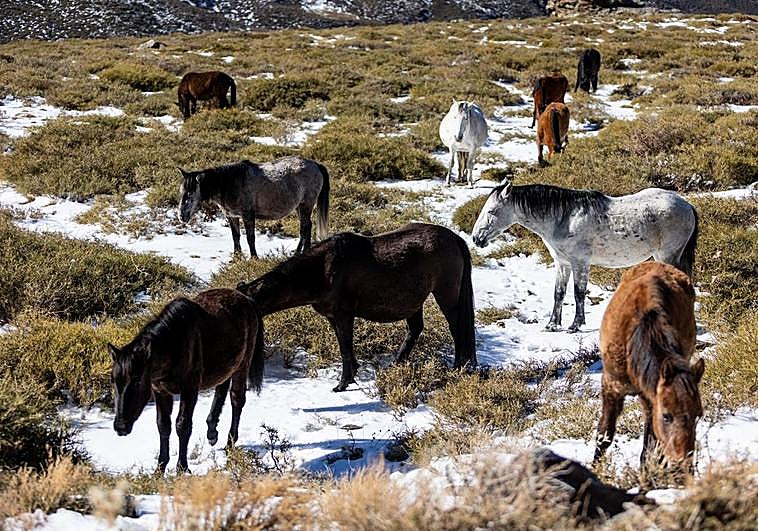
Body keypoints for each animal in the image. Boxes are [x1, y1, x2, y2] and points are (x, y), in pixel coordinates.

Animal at [107, 288, 265, 473]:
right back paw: (212, 432)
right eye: (113, 381)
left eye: (137, 381)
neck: (174, 344)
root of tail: (247, 299)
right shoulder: (160, 391)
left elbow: (182, 425)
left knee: (237, 400)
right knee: (221, 389)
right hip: (226, 365)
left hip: (242, 365)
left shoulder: (189, 389)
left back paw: (229, 445)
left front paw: (182, 468)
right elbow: (163, 425)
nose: (121, 427)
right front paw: (160, 468)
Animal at [179, 156, 330, 258]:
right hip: (300, 207)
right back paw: (306, 251)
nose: (181, 216)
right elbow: (236, 237)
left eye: (191, 193)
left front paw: (254, 258)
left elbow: (250, 238)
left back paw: (297, 253)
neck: (229, 183)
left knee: (304, 228)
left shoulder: (247, 215)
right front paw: (237, 258)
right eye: (181, 191)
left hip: (305, 205)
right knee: (308, 226)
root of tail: (315, 164)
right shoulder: (232, 216)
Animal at [237, 223, 476, 392]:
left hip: (446, 294)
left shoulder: (344, 315)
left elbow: (344, 347)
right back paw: (397, 363)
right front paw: (352, 374)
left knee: (457, 329)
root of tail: (455, 239)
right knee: (415, 329)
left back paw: (458, 367)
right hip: (414, 300)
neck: (324, 270)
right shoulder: (333, 317)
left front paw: (342, 383)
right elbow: (345, 347)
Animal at [471, 181, 698, 332]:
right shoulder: (562, 264)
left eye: (491, 211)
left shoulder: (580, 263)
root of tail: (687, 205)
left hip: (668, 255)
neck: (565, 218)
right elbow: (559, 293)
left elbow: (578, 293)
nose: (476, 238)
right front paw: (552, 325)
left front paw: (575, 325)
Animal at [594, 262, 703, 473]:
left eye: (698, 415)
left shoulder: (650, 398)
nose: (684, 465)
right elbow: (604, 436)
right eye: (667, 416)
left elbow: (650, 449)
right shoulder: (611, 385)